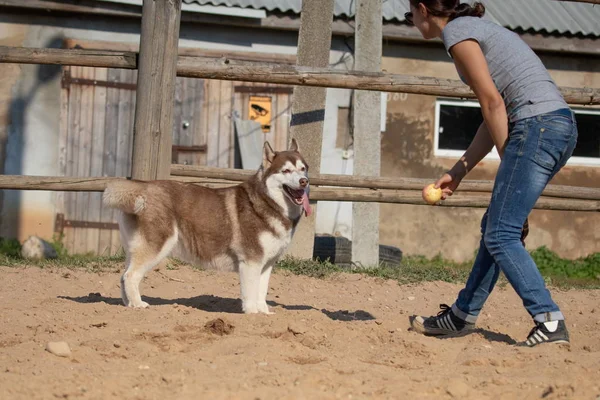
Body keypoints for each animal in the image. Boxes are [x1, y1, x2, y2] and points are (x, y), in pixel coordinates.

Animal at [102, 139, 312, 314]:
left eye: (303, 169)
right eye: (286, 171)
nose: (304, 181)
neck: (268, 202)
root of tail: (143, 187)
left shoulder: (266, 264)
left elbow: (261, 292)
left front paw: (264, 314)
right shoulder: (250, 262)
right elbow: (251, 294)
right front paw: (252, 314)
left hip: (134, 249)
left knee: (123, 275)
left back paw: (127, 304)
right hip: (156, 247)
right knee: (130, 276)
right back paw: (138, 304)